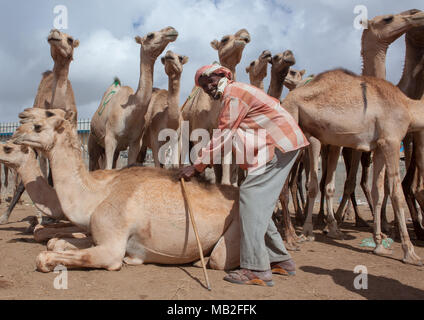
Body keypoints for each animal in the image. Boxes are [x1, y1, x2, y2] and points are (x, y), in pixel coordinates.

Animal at [15, 109, 245, 272]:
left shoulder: (112, 247)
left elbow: (45, 256)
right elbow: (55, 243)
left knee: (219, 258)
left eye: (39, 124)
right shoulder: (97, 235)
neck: (96, 195)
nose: (16, 132)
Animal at [88, 26, 178, 170]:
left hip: (115, 150)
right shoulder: (110, 138)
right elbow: (108, 168)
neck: (129, 112)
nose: (171, 29)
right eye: (150, 35)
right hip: (93, 144)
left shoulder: (135, 142)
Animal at [282, 67, 424, 264]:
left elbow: (378, 192)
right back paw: (295, 236)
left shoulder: (379, 147)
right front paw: (409, 252)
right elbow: (397, 193)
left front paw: (379, 244)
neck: (409, 107)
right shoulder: (392, 140)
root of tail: (285, 100)